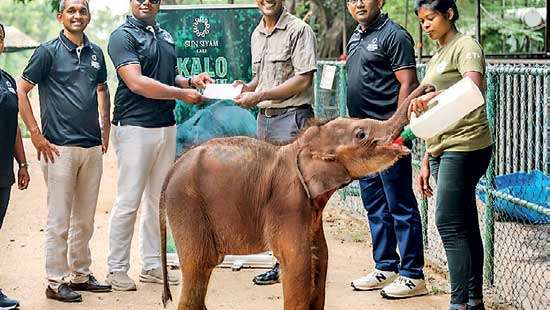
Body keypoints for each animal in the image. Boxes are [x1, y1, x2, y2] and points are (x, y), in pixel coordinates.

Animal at [162, 85, 438, 310]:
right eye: (361, 134)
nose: (429, 89)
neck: (300, 146)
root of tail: (171, 170)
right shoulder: (287, 203)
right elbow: (299, 263)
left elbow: (321, 257)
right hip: (187, 207)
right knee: (199, 266)